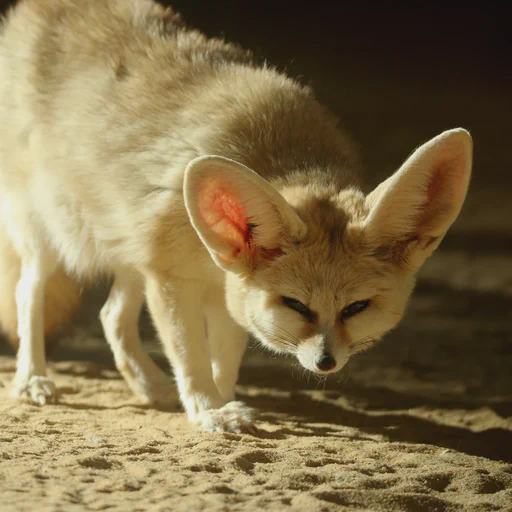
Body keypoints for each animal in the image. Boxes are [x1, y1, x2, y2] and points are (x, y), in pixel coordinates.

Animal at [0, 0, 472, 432]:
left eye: (356, 307)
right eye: (296, 305)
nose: (326, 362)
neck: (280, 153)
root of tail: (39, 8)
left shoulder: (218, 286)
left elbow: (224, 358)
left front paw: (220, 399)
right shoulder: (174, 280)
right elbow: (190, 354)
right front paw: (209, 410)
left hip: (131, 247)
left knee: (110, 316)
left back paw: (151, 387)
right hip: (49, 235)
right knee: (28, 293)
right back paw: (33, 379)